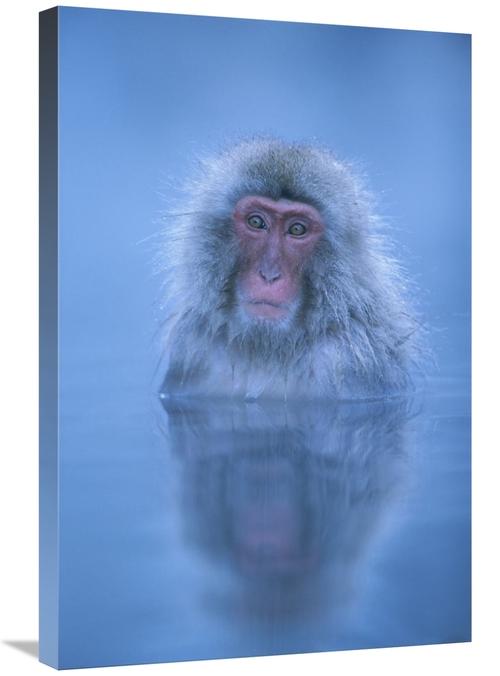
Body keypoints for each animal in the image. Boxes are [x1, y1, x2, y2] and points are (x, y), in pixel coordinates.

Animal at [157, 137, 424, 401]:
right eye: (256, 222)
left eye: (297, 229)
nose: (269, 275)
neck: (268, 347)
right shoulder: (195, 348)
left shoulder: (345, 357)